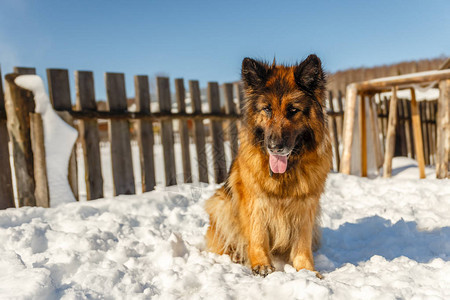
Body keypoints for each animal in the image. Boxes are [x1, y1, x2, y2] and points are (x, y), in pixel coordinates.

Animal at [204, 55, 330, 278]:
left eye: (293, 110)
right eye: (267, 109)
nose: (275, 147)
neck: (284, 174)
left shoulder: (306, 205)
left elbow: (302, 243)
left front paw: (306, 270)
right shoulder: (255, 201)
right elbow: (258, 235)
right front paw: (261, 264)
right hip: (220, 204)